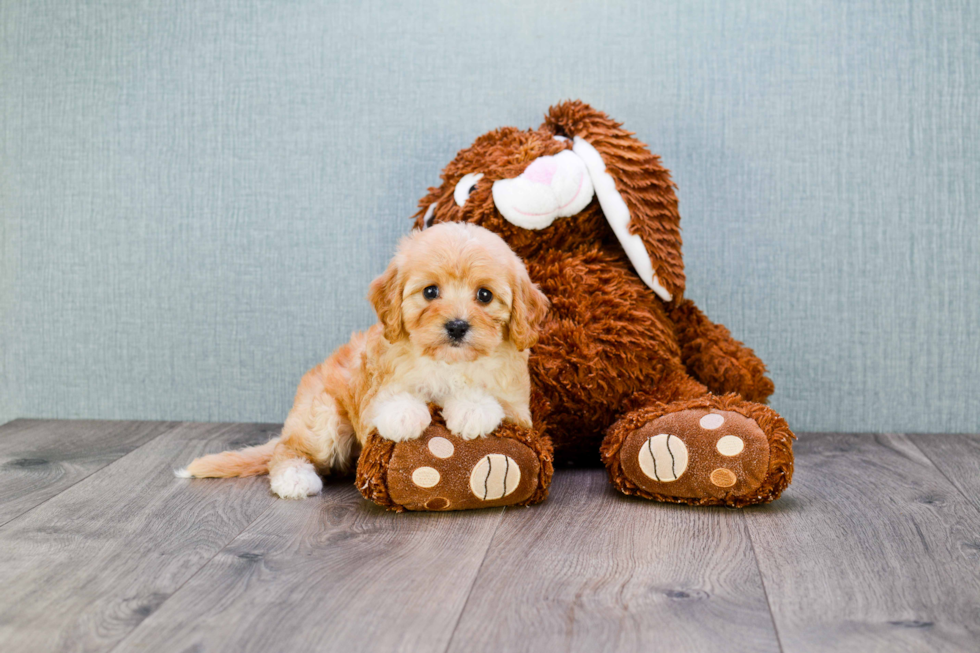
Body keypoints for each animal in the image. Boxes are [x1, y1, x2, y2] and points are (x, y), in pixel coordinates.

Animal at [180, 223, 548, 500]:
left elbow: (491, 403)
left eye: (484, 295)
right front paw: (404, 414)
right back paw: (295, 478)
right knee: (288, 449)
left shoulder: (518, 409)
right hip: (322, 416)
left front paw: (472, 409)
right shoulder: (374, 387)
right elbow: (388, 401)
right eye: (430, 292)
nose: (457, 326)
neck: (449, 362)